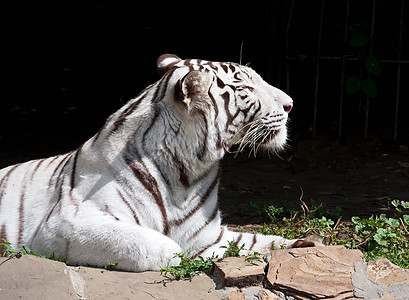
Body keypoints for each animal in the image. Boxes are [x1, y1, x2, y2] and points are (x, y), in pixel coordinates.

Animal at [0, 54, 318, 272]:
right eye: (247, 88)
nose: (291, 104)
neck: (188, 175)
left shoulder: (209, 237)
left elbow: (256, 242)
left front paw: (305, 245)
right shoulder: (66, 223)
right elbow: (158, 247)